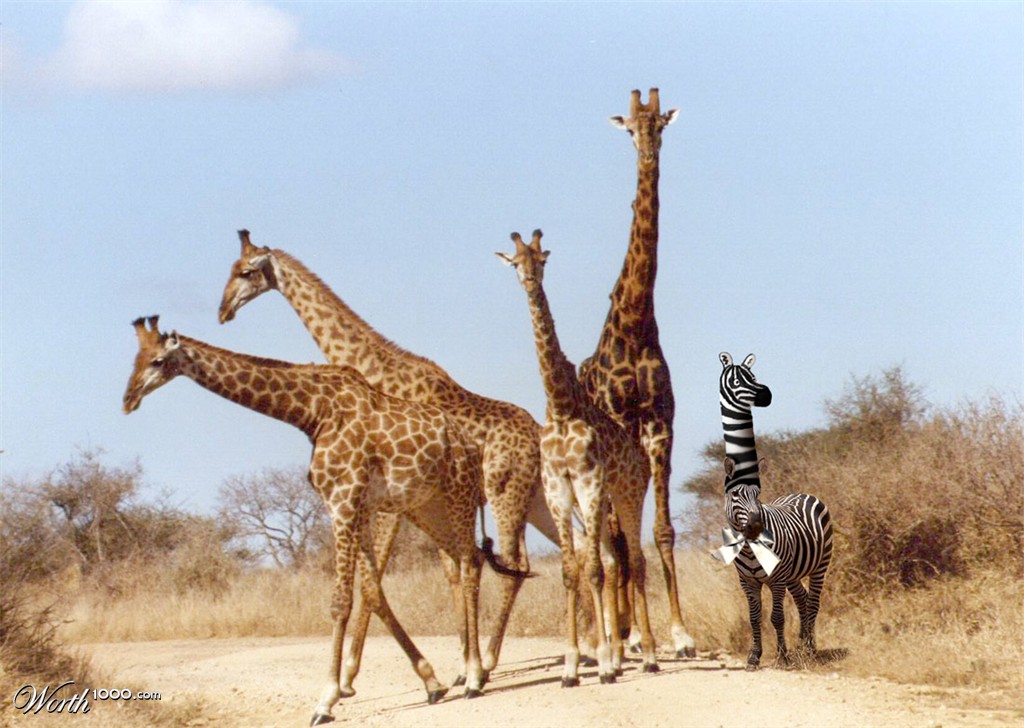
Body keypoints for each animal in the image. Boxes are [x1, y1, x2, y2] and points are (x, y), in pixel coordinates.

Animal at [714, 352, 833, 670]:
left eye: (758, 495)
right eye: (735, 496)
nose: (755, 527)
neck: (748, 547)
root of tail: (802, 492)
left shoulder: (776, 579)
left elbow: (777, 617)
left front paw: (782, 656)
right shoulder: (748, 583)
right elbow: (755, 617)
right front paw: (754, 656)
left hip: (820, 564)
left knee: (813, 602)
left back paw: (810, 648)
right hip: (794, 573)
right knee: (803, 599)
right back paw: (803, 644)